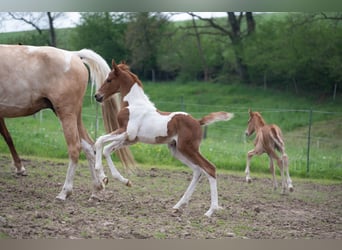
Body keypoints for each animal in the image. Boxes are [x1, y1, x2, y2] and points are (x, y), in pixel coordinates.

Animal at [0, 44, 134, 201]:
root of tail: (74, 55)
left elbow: (7, 137)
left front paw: (20, 168)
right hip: (75, 116)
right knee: (89, 147)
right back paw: (96, 188)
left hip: (66, 114)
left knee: (75, 148)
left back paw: (65, 192)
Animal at [94, 60, 235, 217]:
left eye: (109, 79)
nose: (97, 96)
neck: (133, 104)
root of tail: (198, 122)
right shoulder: (130, 139)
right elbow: (106, 149)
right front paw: (120, 180)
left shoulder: (126, 132)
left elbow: (99, 141)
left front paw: (102, 175)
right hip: (177, 150)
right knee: (197, 171)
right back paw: (178, 205)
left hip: (188, 148)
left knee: (209, 168)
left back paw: (210, 211)